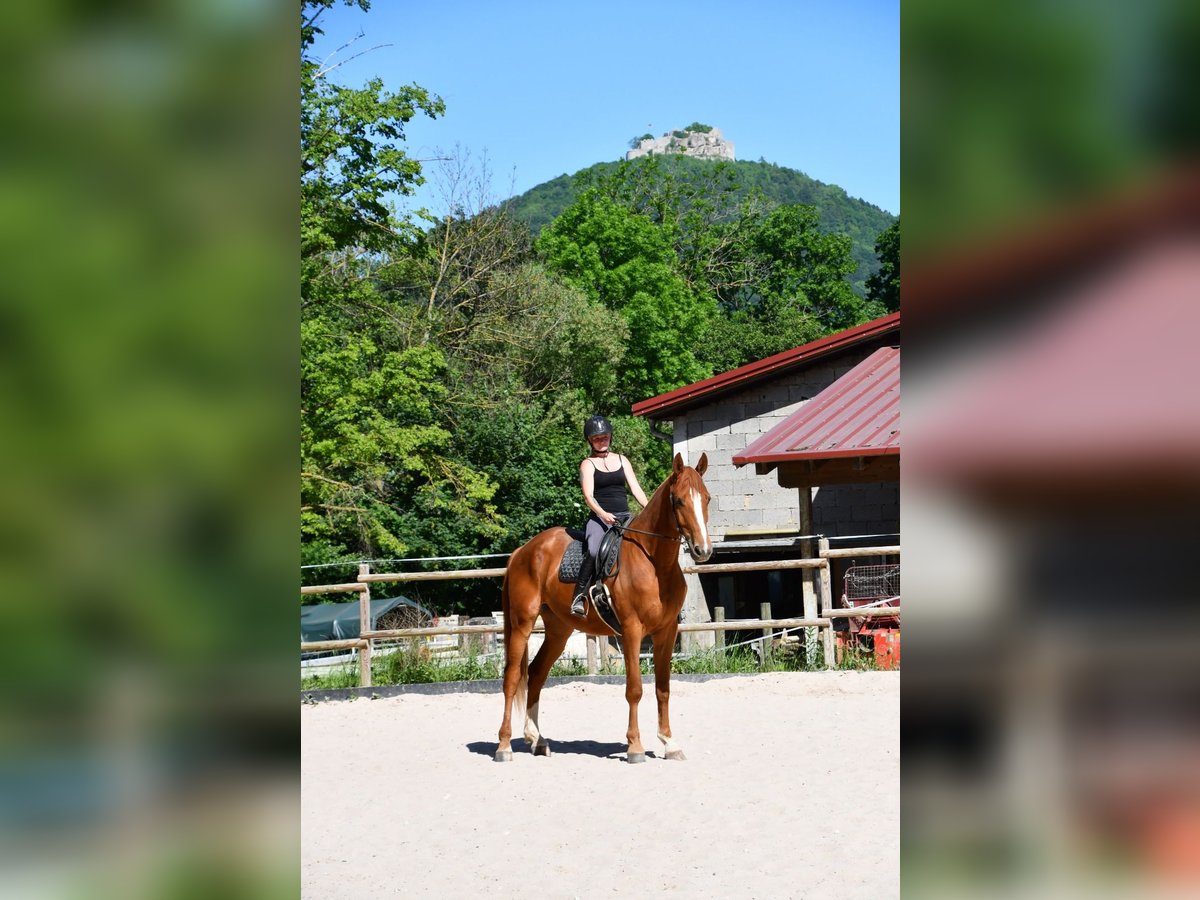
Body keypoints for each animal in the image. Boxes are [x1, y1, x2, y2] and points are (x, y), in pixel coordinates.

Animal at [492, 453, 705, 763]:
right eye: (678, 501)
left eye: (707, 498)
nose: (703, 549)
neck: (654, 563)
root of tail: (523, 551)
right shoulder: (631, 630)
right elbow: (635, 689)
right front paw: (635, 747)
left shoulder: (666, 632)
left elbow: (663, 689)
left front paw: (670, 743)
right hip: (522, 624)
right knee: (511, 678)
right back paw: (504, 746)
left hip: (558, 630)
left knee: (536, 672)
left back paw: (537, 740)